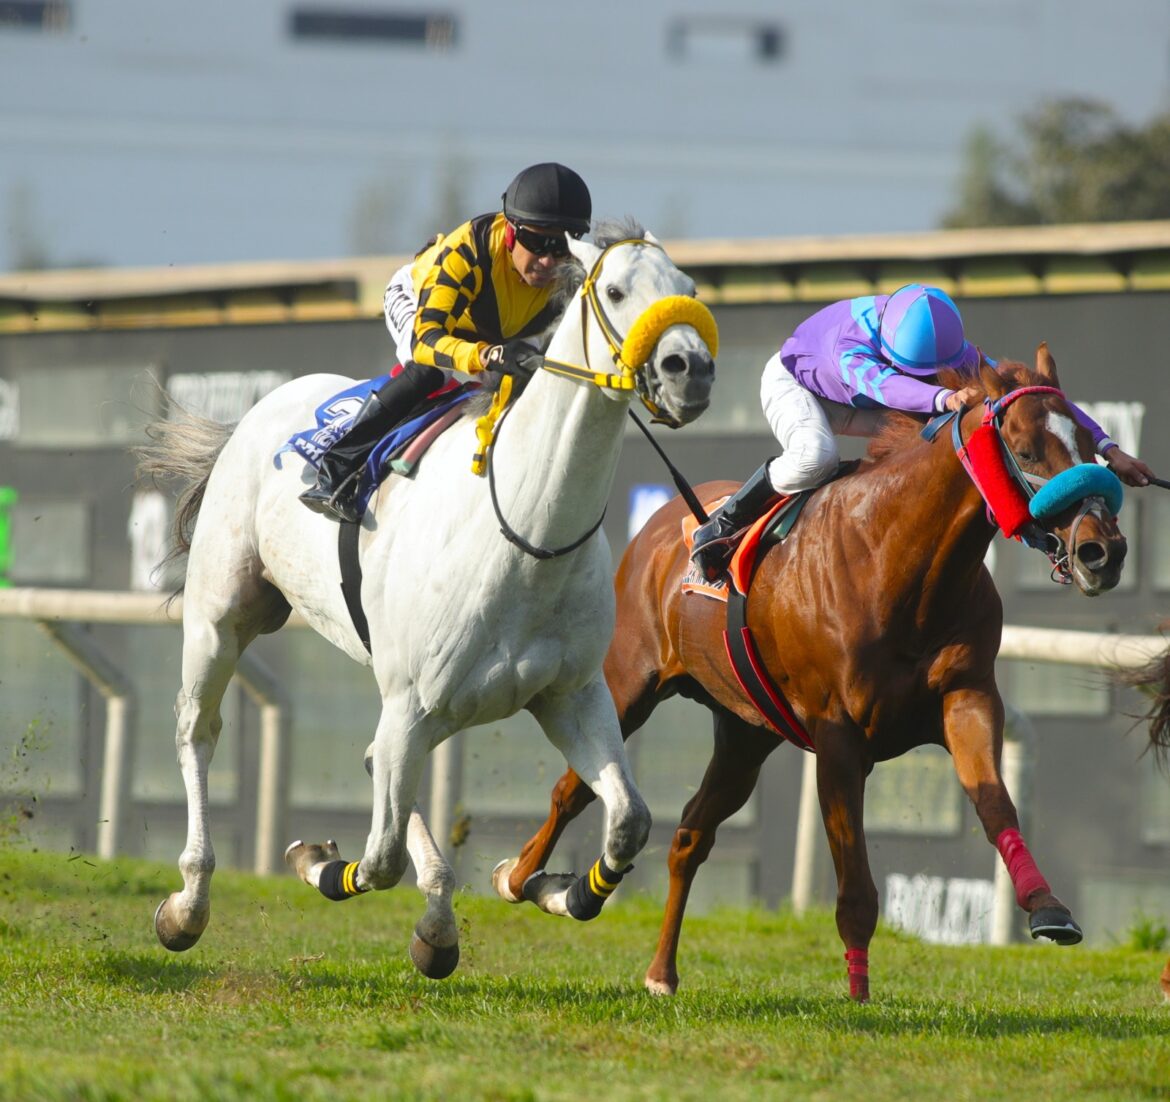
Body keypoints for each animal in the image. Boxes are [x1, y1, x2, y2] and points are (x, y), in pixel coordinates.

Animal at [140, 219, 716, 977]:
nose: (691, 371)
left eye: (688, 288)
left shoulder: (571, 694)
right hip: (222, 619)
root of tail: (259, 412)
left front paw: (552, 891)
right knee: (198, 733)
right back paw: (188, 903)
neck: (525, 532)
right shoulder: (414, 700)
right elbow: (378, 860)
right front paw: (317, 862)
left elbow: (628, 822)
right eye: (617, 291)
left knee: (375, 760)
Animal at [489, 346, 1127, 1001]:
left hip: (746, 733)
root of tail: (663, 521)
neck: (900, 562)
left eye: (1091, 443)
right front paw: (859, 999)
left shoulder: (967, 696)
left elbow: (996, 804)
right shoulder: (838, 735)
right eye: (1025, 450)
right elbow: (857, 889)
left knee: (690, 835)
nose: (1102, 551)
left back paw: (661, 972)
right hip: (628, 683)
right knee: (572, 789)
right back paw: (526, 880)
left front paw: (1048, 908)